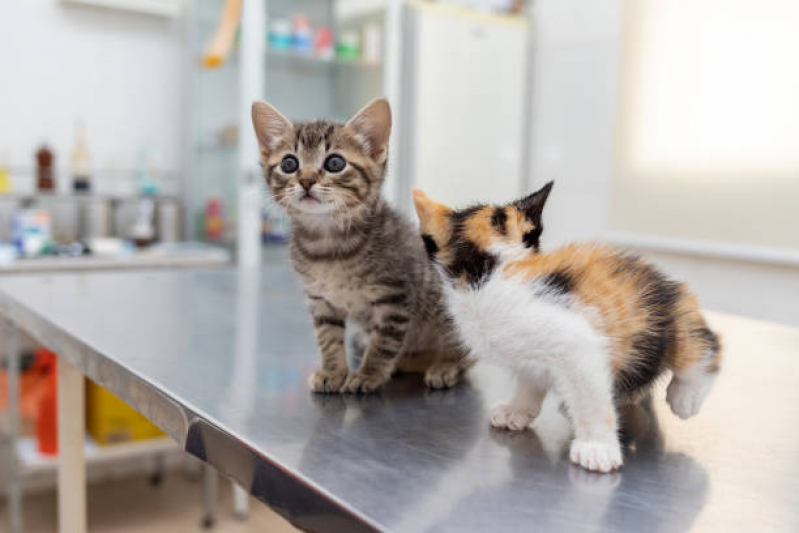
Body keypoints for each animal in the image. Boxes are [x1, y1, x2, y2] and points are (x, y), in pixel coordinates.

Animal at [253, 97, 472, 392]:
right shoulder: (320, 301)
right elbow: (328, 338)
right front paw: (333, 371)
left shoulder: (394, 297)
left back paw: (446, 365)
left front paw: (368, 374)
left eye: (335, 163)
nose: (306, 180)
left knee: (466, 352)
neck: (328, 242)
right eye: (289, 164)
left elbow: (383, 343)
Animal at [416, 182, 720, 470]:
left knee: (704, 348)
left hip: (676, 321)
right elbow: (530, 377)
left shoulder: (577, 344)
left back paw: (685, 397)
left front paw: (596, 447)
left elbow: (591, 398)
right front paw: (518, 409)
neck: (493, 271)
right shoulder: (528, 353)